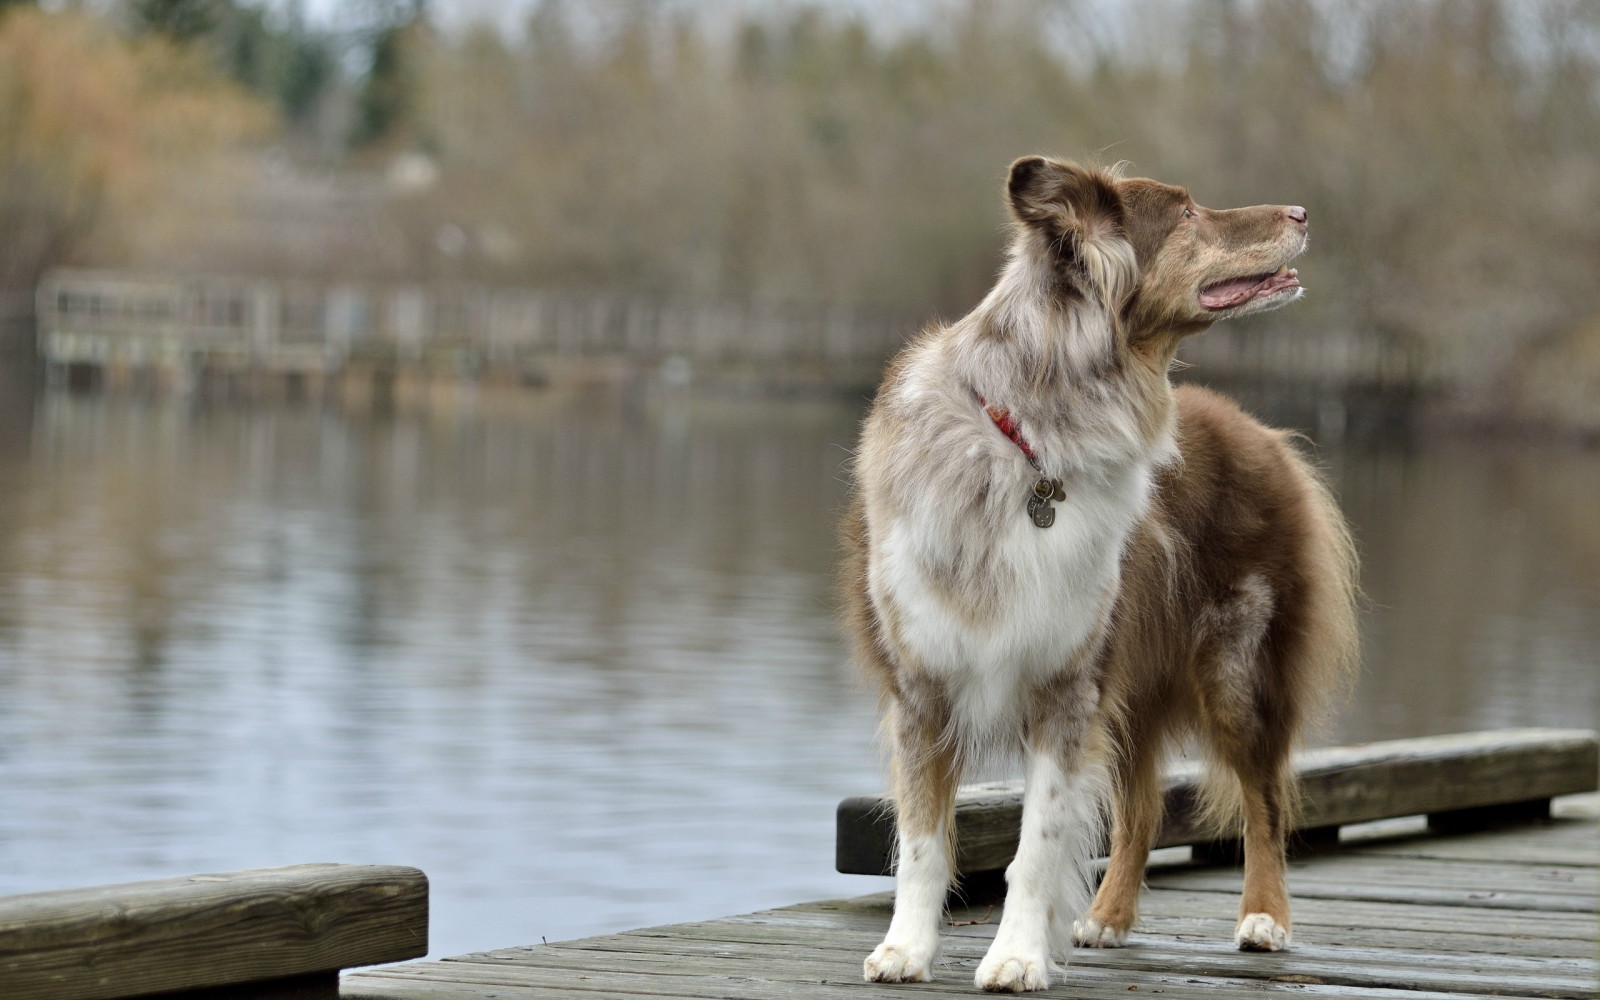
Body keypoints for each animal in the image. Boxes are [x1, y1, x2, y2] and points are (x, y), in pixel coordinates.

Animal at [844, 157, 1356, 992]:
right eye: (1186, 214)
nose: (1304, 211)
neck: (1031, 438)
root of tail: (1261, 429)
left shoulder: (1066, 685)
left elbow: (1037, 846)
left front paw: (1016, 957)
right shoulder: (921, 683)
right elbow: (922, 841)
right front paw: (906, 950)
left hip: (1237, 666)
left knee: (1265, 799)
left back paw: (1264, 919)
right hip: (1138, 683)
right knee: (1142, 808)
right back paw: (1108, 917)